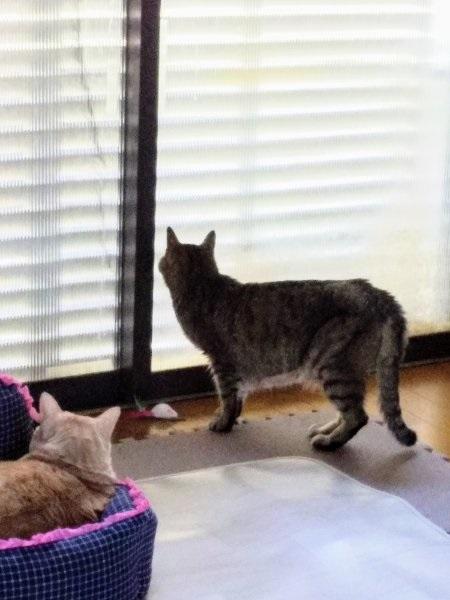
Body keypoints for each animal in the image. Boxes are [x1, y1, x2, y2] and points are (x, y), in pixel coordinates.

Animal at [159, 227, 416, 451]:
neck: (202, 284)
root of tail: (380, 296)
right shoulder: (234, 368)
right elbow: (238, 396)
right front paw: (232, 418)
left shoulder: (221, 362)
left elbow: (227, 397)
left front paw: (223, 423)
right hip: (346, 373)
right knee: (347, 413)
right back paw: (323, 431)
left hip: (333, 368)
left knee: (357, 416)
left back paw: (328, 442)